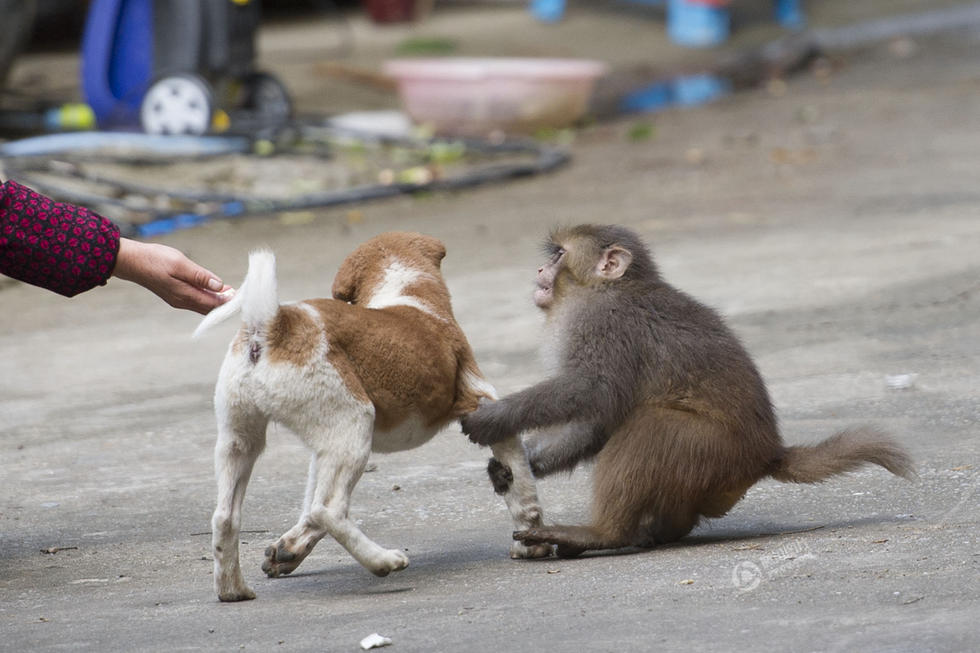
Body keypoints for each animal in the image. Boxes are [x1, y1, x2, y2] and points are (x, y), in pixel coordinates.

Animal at [195, 230, 548, 600]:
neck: (405, 291)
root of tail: (272, 324)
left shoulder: (322, 451)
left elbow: (308, 512)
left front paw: (286, 551)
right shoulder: (484, 405)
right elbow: (521, 484)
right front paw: (531, 541)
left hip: (241, 441)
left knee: (227, 517)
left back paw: (233, 590)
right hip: (354, 426)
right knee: (328, 510)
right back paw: (384, 561)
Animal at [464, 223, 916, 556]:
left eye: (558, 255)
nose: (540, 272)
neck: (602, 288)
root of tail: (767, 452)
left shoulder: (603, 322)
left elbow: (593, 390)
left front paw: (495, 418)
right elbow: (598, 421)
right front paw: (518, 465)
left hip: (713, 452)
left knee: (652, 425)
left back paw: (603, 534)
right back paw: (655, 532)